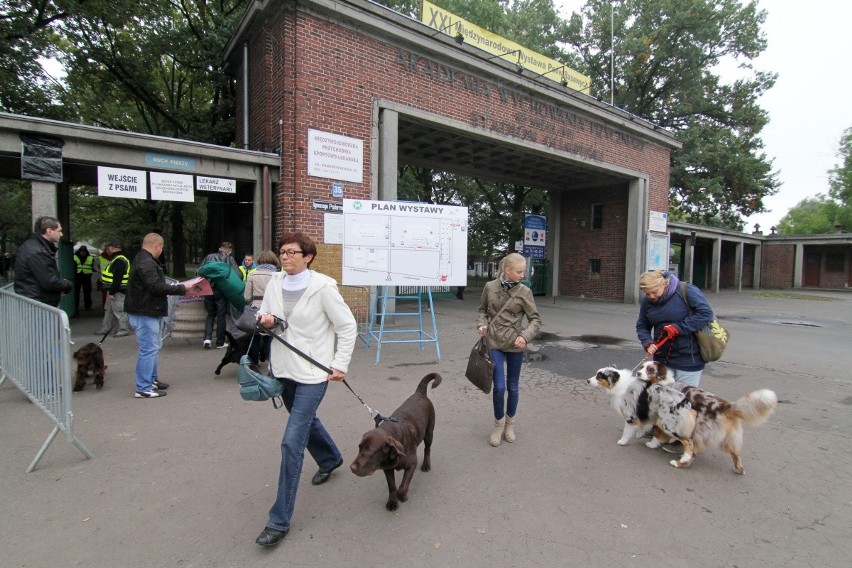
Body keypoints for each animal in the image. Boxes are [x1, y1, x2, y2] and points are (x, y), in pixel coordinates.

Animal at [350, 372, 442, 510]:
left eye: (370, 450)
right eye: (359, 448)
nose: (352, 468)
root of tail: (419, 393)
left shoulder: (412, 464)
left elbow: (402, 488)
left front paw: (403, 497)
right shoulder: (387, 469)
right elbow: (392, 487)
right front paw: (392, 502)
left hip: (429, 432)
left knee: (427, 448)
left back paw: (426, 464)